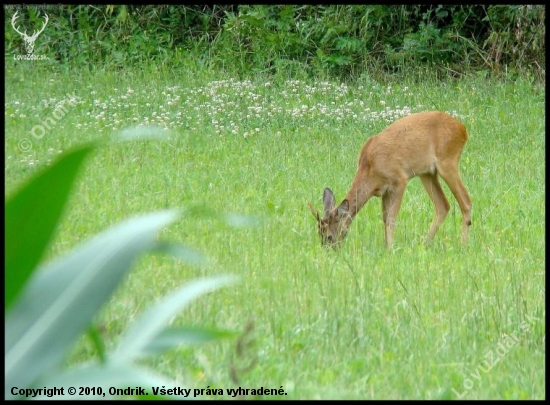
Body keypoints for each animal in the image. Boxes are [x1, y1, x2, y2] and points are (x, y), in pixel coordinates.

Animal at [308, 109, 472, 248]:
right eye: (319, 234)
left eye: (329, 236)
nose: (328, 250)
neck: (370, 168)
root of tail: (463, 129)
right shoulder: (384, 190)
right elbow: (385, 218)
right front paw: (386, 245)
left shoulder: (399, 180)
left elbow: (392, 219)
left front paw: (390, 248)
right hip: (427, 173)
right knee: (443, 205)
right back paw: (424, 243)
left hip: (448, 161)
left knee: (466, 201)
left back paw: (463, 244)